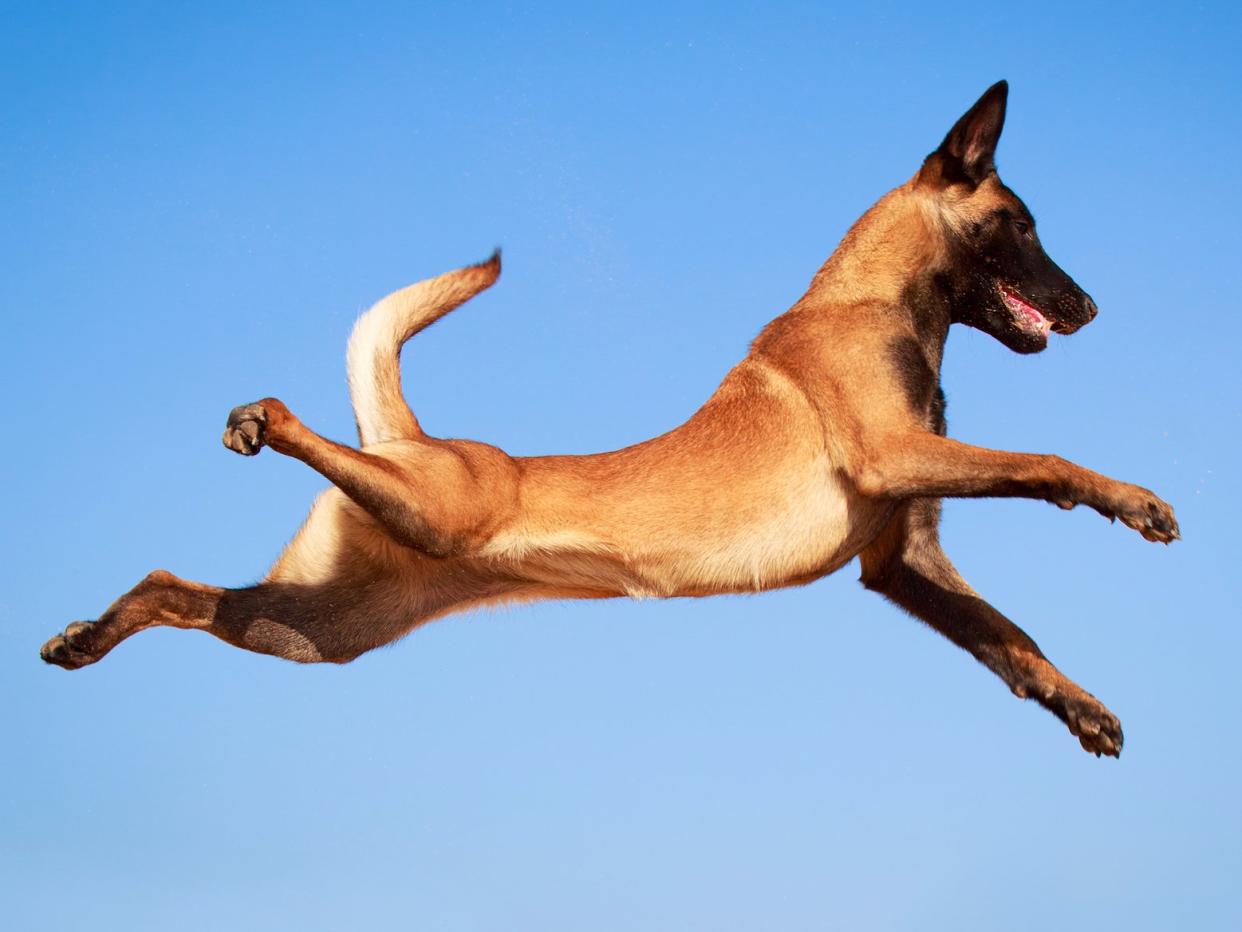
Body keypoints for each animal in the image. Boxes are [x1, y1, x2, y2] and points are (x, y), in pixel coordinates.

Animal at [43, 82, 1177, 760]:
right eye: (1021, 227)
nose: (1088, 308)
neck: (874, 300)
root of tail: (403, 439)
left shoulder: (904, 559)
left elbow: (1012, 638)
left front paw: (1078, 704)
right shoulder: (899, 455)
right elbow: (1045, 459)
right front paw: (1135, 502)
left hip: (320, 627)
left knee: (173, 587)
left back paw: (85, 637)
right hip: (430, 509)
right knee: (285, 426)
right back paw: (256, 419)